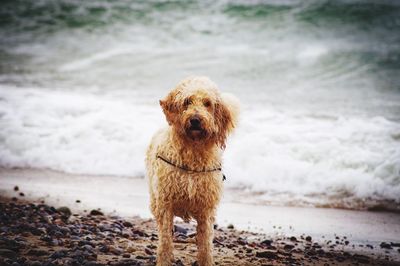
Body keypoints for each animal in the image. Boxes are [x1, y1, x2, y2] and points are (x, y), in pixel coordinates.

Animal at [147, 76, 241, 264]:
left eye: (207, 103)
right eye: (187, 101)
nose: (196, 120)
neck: (193, 152)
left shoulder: (206, 210)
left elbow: (205, 243)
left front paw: (206, 261)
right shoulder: (165, 204)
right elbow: (165, 241)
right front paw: (164, 260)